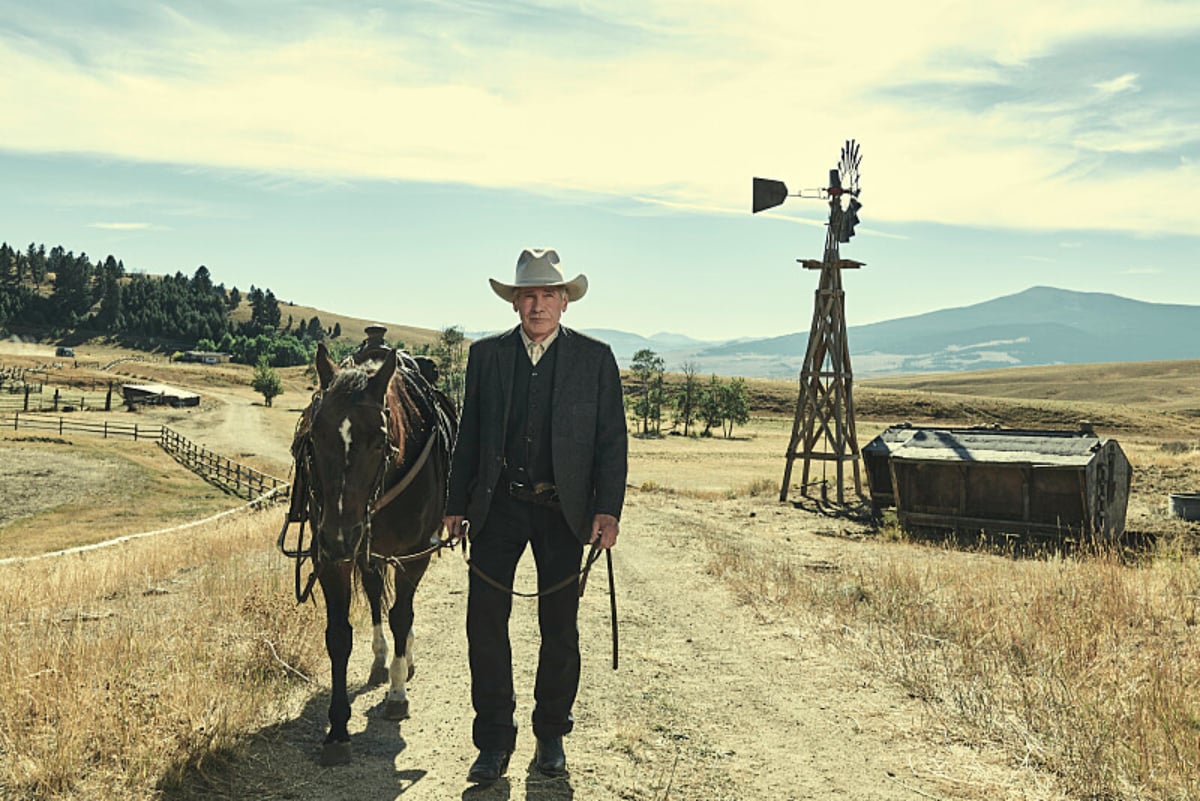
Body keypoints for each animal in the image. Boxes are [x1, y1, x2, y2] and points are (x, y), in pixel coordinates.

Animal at [290, 340, 458, 767]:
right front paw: (337, 729)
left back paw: (401, 663)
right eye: (314, 436)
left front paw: (398, 695)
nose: (339, 537)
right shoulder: (331, 558)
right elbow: (339, 635)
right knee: (373, 592)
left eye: (380, 441)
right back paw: (382, 660)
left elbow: (402, 616)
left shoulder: (415, 554)